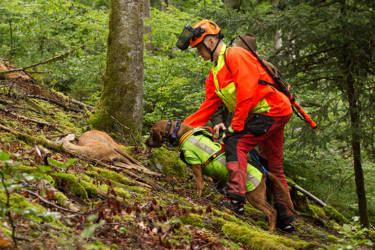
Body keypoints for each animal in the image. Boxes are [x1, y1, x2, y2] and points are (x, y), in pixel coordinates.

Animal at [147, 120, 296, 231]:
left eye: (150, 133)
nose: (145, 142)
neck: (181, 131)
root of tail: (264, 172)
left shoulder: (196, 164)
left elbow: (200, 183)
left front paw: (197, 195)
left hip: (254, 196)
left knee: (272, 212)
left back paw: (271, 229)